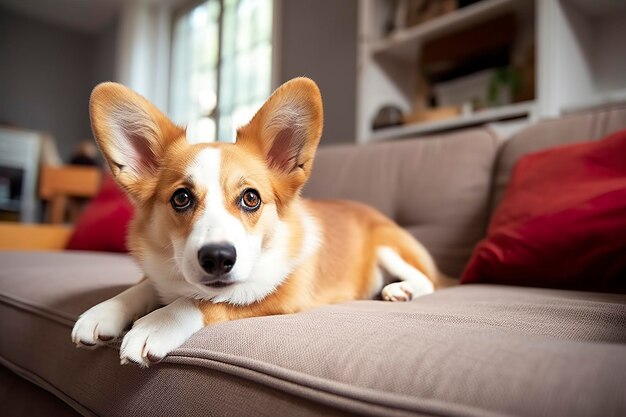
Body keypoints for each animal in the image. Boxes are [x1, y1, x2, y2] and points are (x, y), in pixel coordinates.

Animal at [72, 77, 444, 364]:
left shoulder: (278, 297)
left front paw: (155, 325)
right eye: (181, 198)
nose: (218, 258)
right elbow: (146, 285)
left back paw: (401, 289)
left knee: (427, 280)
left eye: (251, 198)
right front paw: (104, 311)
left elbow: (198, 302)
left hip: (388, 246)